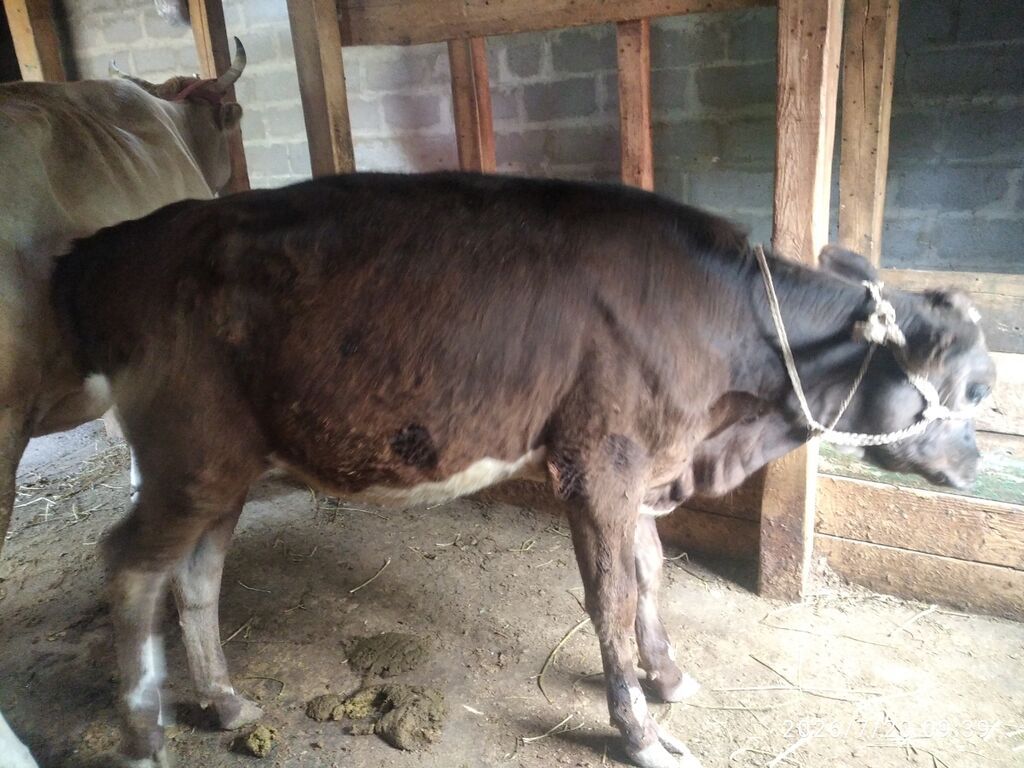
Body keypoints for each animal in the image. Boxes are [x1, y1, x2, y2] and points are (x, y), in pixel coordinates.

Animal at [50, 172, 994, 768]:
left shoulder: (645, 464)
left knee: (195, 576)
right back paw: (144, 737)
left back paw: (226, 700)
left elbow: (651, 574)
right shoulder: (598, 461)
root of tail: (109, 246)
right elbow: (612, 597)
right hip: (191, 457)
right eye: (981, 385)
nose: (980, 465)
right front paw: (639, 734)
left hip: (228, 468)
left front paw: (667, 676)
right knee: (131, 567)